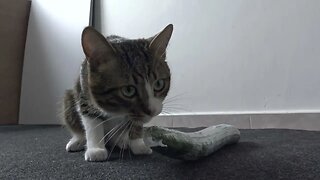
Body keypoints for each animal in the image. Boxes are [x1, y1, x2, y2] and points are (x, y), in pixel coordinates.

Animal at [62, 24, 172, 162]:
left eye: (159, 84)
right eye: (128, 90)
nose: (152, 111)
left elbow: (136, 123)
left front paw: (138, 145)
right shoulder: (85, 91)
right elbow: (92, 120)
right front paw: (96, 149)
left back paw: (122, 140)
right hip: (69, 98)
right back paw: (78, 140)